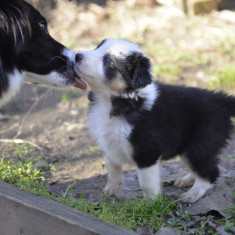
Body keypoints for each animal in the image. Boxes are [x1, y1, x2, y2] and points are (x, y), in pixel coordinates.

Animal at [74, 38, 235, 202]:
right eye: (97, 48)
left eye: (108, 61)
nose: (77, 56)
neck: (115, 99)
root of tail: (221, 100)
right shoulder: (108, 143)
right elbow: (113, 170)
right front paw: (110, 190)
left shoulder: (147, 151)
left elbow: (147, 182)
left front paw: (151, 202)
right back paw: (187, 180)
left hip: (200, 144)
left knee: (210, 172)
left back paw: (192, 194)